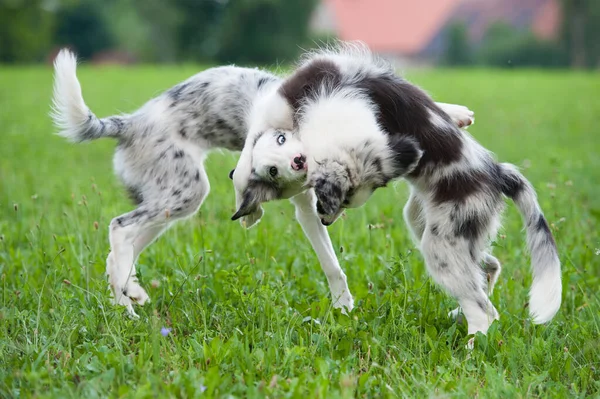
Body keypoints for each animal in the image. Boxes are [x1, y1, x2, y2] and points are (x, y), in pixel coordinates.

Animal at [50, 49, 360, 316]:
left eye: (282, 139)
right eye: (272, 170)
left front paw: (343, 308)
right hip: (188, 191)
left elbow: (330, 263)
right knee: (119, 227)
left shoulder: (307, 209)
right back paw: (129, 305)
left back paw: (127, 301)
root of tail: (131, 124)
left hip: (164, 203)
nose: (298, 162)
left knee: (118, 253)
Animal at [232, 44, 560, 344]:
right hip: (433, 226)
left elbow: (249, 150)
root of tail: (497, 172)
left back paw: (470, 348)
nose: (325, 221)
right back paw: (461, 314)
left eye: (341, 201)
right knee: (487, 268)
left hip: (440, 246)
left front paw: (245, 195)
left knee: (484, 310)